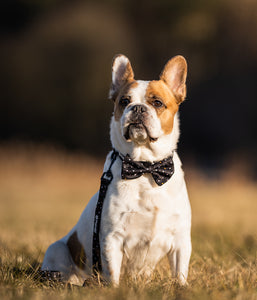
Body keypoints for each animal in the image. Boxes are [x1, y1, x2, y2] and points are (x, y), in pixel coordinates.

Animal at [41, 54, 190, 286]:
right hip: (57, 250)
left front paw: (182, 288)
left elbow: (180, 273)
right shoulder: (112, 238)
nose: (137, 108)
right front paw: (114, 289)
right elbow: (113, 274)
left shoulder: (181, 240)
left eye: (157, 103)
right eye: (124, 101)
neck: (145, 167)